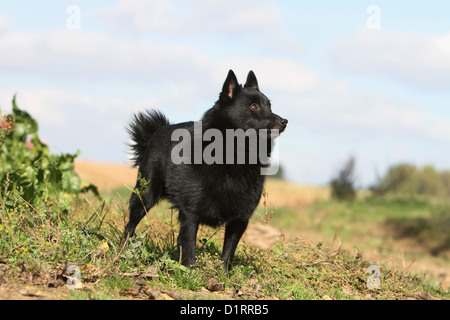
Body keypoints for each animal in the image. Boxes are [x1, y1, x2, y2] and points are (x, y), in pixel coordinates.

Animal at [120, 70, 288, 270]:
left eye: (269, 106)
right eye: (253, 106)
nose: (284, 121)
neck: (234, 153)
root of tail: (159, 130)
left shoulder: (240, 219)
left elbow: (227, 253)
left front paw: (223, 275)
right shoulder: (191, 214)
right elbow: (190, 248)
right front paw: (190, 272)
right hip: (144, 196)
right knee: (130, 226)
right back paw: (120, 253)